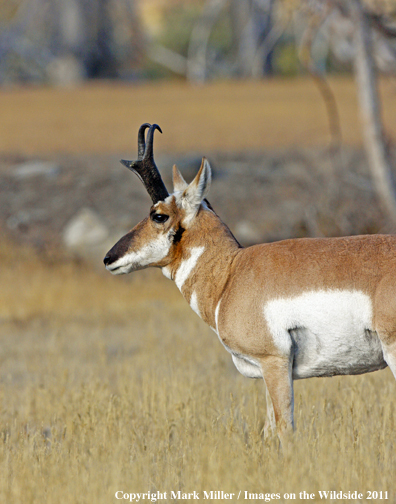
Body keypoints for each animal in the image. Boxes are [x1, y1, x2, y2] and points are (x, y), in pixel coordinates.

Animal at [104, 124, 396, 442]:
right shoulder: (267, 372)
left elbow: (284, 430)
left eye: (158, 215)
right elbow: (268, 431)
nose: (109, 258)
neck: (230, 273)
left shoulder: (274, 362)